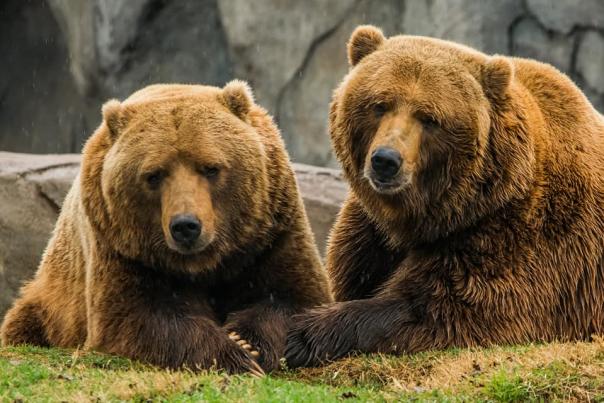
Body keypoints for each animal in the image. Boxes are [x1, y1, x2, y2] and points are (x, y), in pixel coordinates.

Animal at [1, 81, 330, 376]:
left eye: (211, 168)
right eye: (154, 175)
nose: (186, 226)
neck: (205, 262)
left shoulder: (269, 232)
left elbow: (293, 296)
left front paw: (248, 343)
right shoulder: (121, 246)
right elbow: (135, 316)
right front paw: (233, 356)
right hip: (51, 301)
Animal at [284, 23, 604, 368]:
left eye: (429, 118)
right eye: (379, 104)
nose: (386, 160)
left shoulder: (515, 237)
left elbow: (446, 308)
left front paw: (301, 334)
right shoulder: (368, 235)